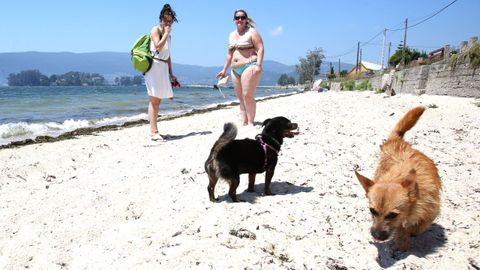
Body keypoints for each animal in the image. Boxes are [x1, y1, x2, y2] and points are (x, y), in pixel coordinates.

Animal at [354, 106, 440, 251]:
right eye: (372, 210)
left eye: (392, 215)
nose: (376, 236)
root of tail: (396, 141)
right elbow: (402, 228)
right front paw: (403, 240)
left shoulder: (430, 211)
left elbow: (418, 226)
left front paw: (409, 234)